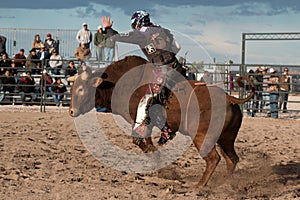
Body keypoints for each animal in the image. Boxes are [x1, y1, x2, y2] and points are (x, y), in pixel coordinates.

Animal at [69, 55, 254, 188]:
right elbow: (145, 142)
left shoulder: (140, 119)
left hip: (202, 136)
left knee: (213, 159)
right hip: (226, 139)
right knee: (232, 159)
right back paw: (229, 184)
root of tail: (230, 98)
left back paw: (200, 186)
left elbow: (139, 141)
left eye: (81, 89)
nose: (71, 111)